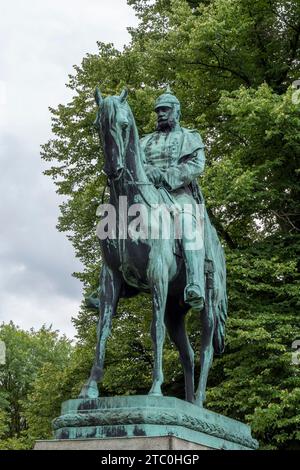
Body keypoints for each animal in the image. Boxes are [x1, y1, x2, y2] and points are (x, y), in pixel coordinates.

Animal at [78, 89, 227, 408]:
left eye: (124, 125)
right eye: (98, 125)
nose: (114, 169)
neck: (128, 207)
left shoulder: (157, 274)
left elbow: (155, 331)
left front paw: (156, 388)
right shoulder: (111, 278)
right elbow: (102, 331)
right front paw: (90, 388)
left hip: (208, 302)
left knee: (206, 350)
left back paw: (198, 402)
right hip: (176, 309)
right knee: (188, 353)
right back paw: (187, 402)